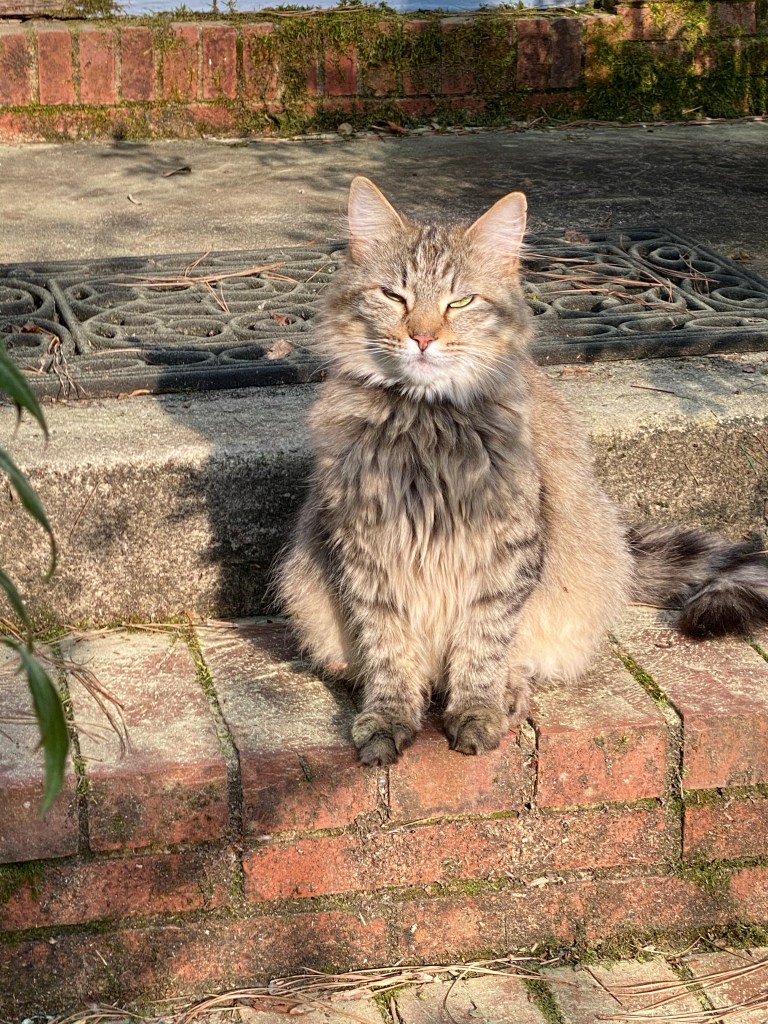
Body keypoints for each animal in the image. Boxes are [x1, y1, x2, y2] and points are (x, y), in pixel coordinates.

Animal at [276, 176, 768, 767]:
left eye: (460, 300)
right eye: (395, 296)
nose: (422, 338)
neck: (426, 422)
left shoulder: (508, 551)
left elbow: (483, 647)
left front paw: (477, 711)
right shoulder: (365, 550)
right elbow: (389, 651)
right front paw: (388, 716)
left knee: (521, 658)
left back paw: (508, 693)